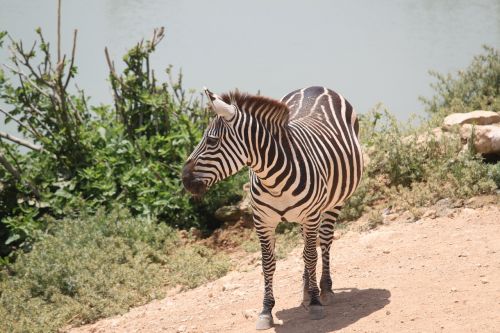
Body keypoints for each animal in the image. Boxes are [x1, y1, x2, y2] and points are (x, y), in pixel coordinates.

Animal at [183, 84, 364, 328]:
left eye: (211, 141)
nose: (184, 179)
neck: (274, 180)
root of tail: (316, 87)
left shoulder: (311, 215)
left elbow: (311, 256)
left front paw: (315, 302)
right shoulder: (263, 220)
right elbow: (268, 263)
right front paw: (266, 310)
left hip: (333, 203)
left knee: (324, 243)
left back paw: (324, 289)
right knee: (308, 246)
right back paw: (306, 290)